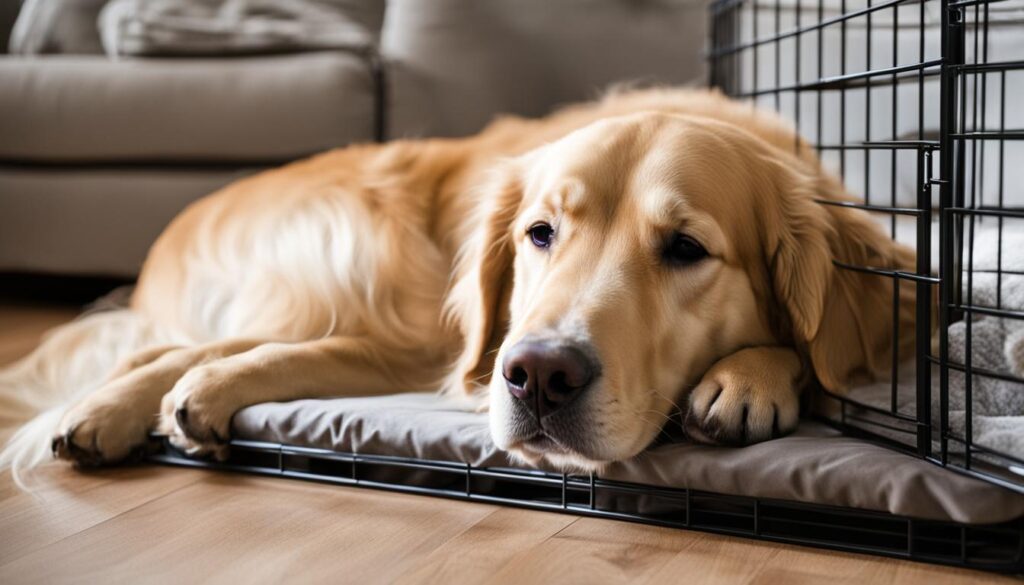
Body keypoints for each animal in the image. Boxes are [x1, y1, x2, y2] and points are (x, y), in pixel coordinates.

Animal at [0, 90, 913, 475]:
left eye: (686, 248)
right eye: (540, 233)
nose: (537, 375)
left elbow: (827, 351)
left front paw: (750, 375)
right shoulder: (463, 342)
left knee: (196, 347)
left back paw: (129, 403)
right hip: (379, 261)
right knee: (233, 345)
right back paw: (143, 401)